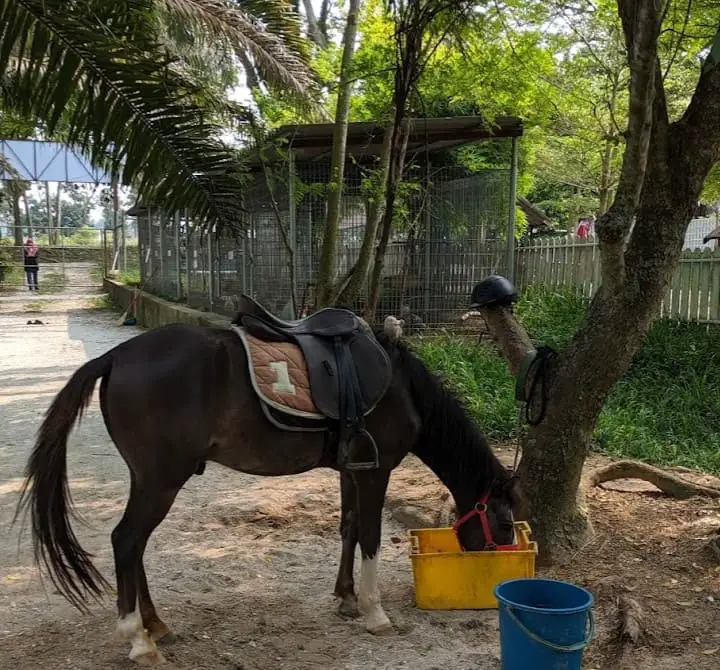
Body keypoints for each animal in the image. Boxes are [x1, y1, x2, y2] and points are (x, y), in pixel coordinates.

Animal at [15, 304, 524, 668]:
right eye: (505, 522)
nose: (494, 564)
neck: (401, 385)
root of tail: (116, 355)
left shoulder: (351, 468)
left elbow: (348, 527)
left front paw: (345, 598)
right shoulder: (375, 471)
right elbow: (371, 538)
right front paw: (374, 613)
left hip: (148, 480)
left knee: (135, 545)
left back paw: (155, 625)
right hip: (160, 481)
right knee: (126, 540)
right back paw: (137, 641)